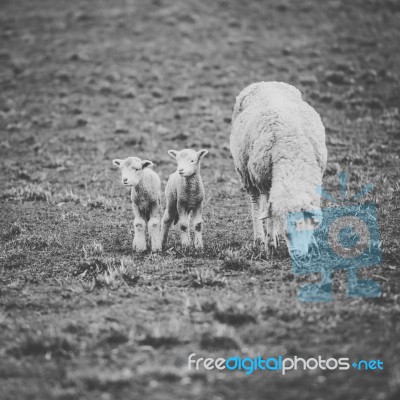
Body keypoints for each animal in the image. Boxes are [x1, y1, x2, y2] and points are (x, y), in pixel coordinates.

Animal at [231, 82, 328, 256]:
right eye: (287, 233)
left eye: (304, 227)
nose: (298, 254)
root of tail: (265, 82)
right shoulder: (264, 182)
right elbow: (268, 216)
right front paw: (270, 244)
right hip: (246, 172)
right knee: (256, 203)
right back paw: (260, 239)